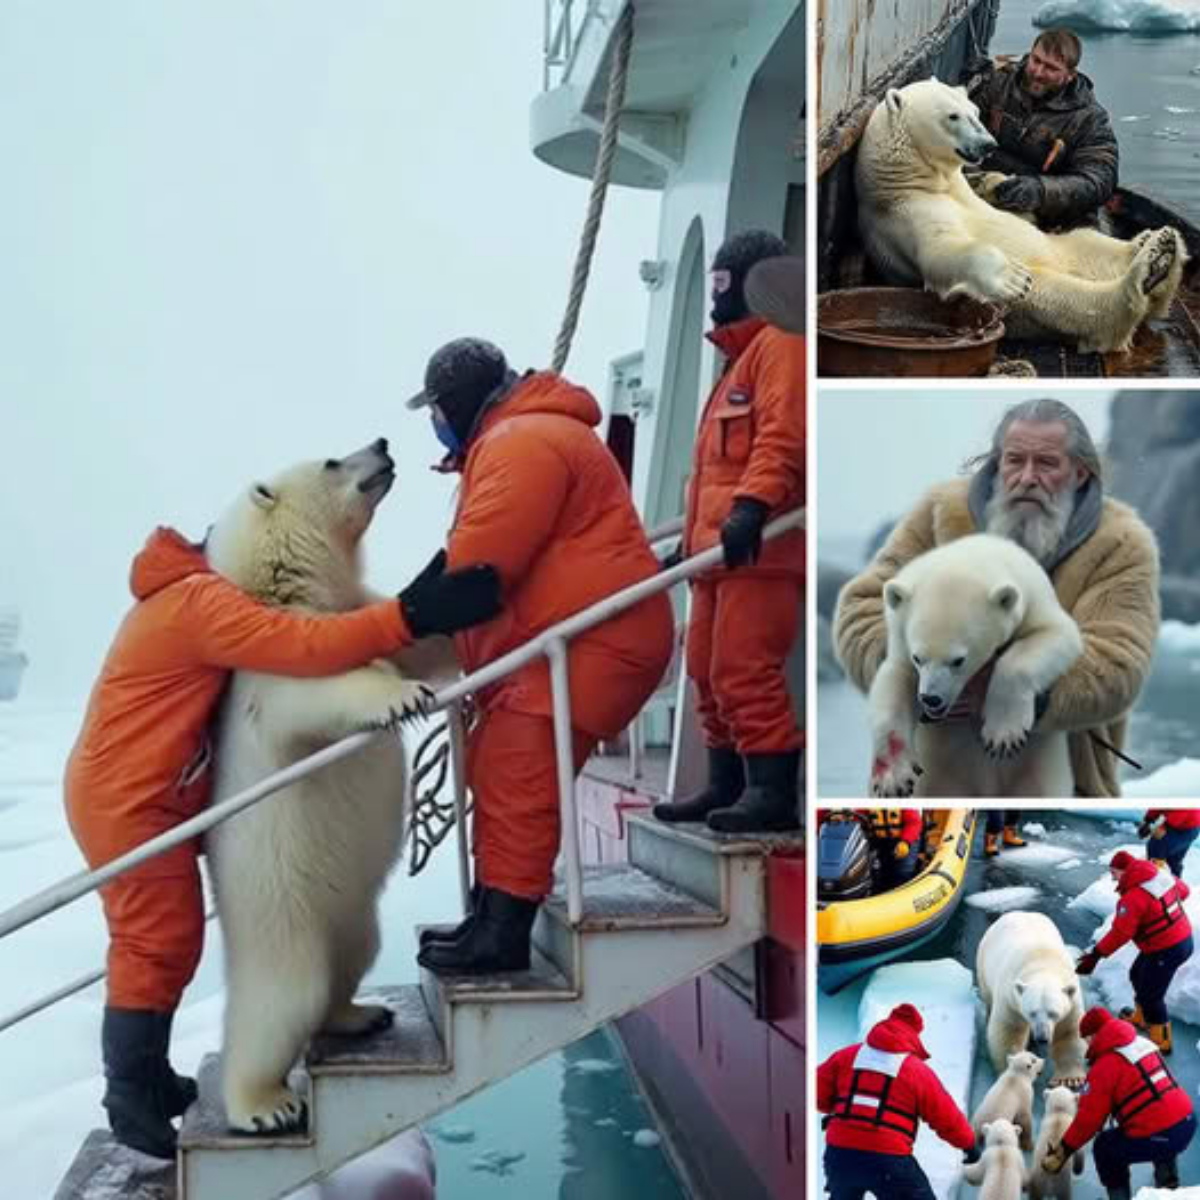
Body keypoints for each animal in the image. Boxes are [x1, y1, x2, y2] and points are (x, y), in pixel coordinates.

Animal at [205, 441, 436, 1132]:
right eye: (333, 461)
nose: (382, 443)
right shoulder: (272, 661)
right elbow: (322, 690)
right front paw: (402, 698)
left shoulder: (353, 611)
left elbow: (417, 642)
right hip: (283, 923)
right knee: (278, 1009)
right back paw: (264, 1106)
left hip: (351, 915)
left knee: (353, 958)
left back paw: (364, 1014)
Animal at [864, 535, 1089, 796]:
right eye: (917, 658)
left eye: (958, 660)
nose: (931, 699)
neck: (974, 555)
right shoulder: (901, 639)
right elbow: (895, 681)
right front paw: (893, 778)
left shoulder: (1034, 601)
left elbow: (1056, 635)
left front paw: (1003, 735)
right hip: (939, 776)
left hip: (1039, 770)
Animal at [974, 912, 1089, 1094]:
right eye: (1031, 1013)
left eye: (1053, 1013)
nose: (1042, 1037)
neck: (1043, 963)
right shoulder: (1010, 998)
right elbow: (1009, 1031)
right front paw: (1013, 1068)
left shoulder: (1072, 1000)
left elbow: (1069, 1031)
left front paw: (1070, 1080)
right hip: (984, 964)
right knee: (988, 999)